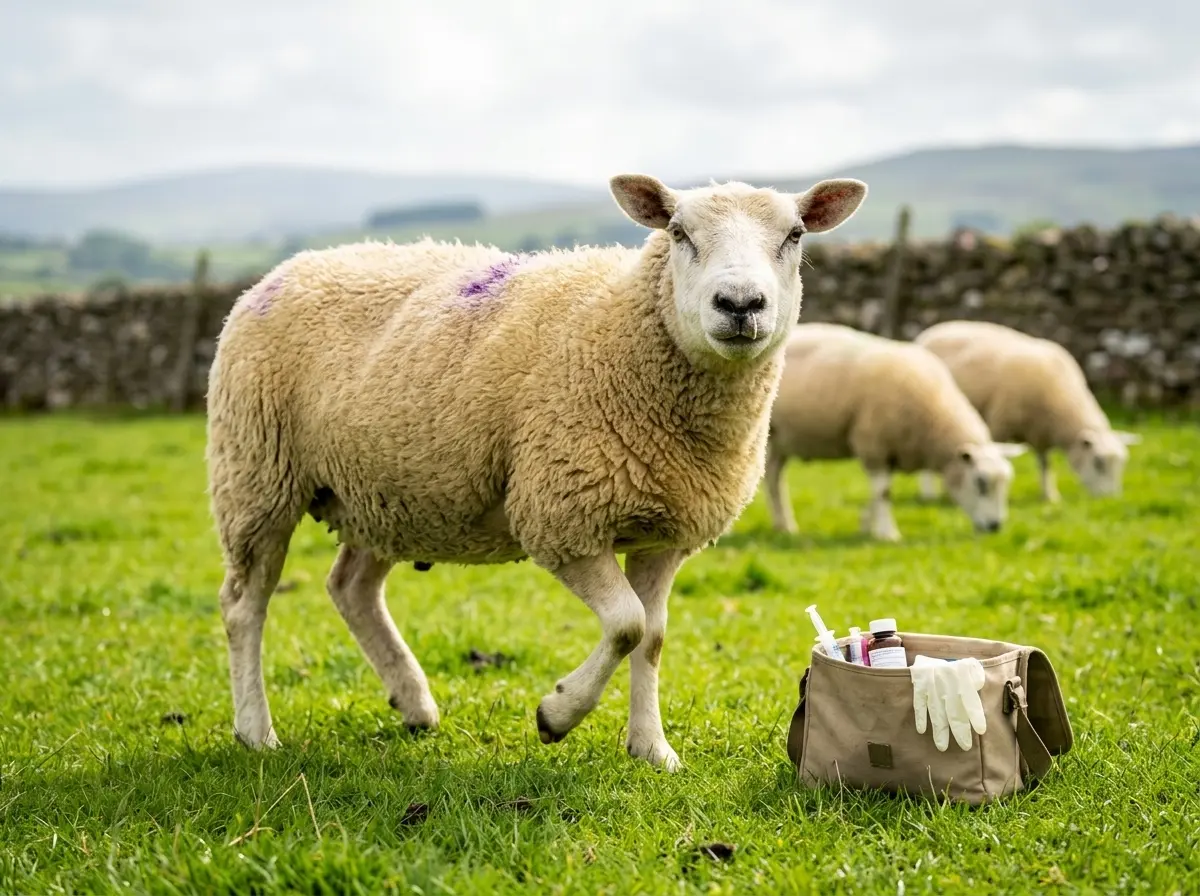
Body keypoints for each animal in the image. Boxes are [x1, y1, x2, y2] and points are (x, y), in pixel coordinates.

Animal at [205, 172, 867, 770]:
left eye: (795, 235)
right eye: (679, 232)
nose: (739, 304)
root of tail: (283, 271)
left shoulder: (665, 533)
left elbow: (652, 639)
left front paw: (652, 749)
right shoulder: (560, 514)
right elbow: (625, 625)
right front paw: (557, 715)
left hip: (386, 491)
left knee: (351, 587)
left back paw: (414, 703)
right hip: (256, 475)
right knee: (244, 605)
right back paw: (256, 731)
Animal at [764, 323, 1026, 541]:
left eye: (1007, 483)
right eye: (980, 482)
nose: (995, 526)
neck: (934, 417)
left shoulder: (887, 452)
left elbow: (877, 492)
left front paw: (866, 524)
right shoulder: (874, 444)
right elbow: (883, 492)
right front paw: (887, 533)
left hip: (780, 439)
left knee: (774, 477)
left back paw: (784, 525)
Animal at [914, 321, 1140, 502]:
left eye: (1122, 463)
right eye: (1098, 462)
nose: (1110, 498)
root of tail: (931, 331)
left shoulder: (1042, 434)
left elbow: (1045, 465)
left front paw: (1050, 495)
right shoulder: (1000, 424)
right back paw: (929, 493)